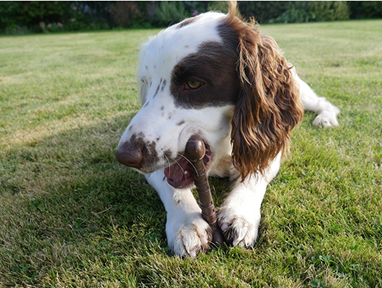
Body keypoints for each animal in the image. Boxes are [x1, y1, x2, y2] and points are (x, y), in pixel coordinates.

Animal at [115, 2, 338, 256]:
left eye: (193, 83)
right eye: (146, 83)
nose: (125, 156)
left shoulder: (270, 143)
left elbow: (254, 174)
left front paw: (239, 214)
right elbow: (170, 185)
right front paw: (186, 224)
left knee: (322, 102)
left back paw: (326, 119)